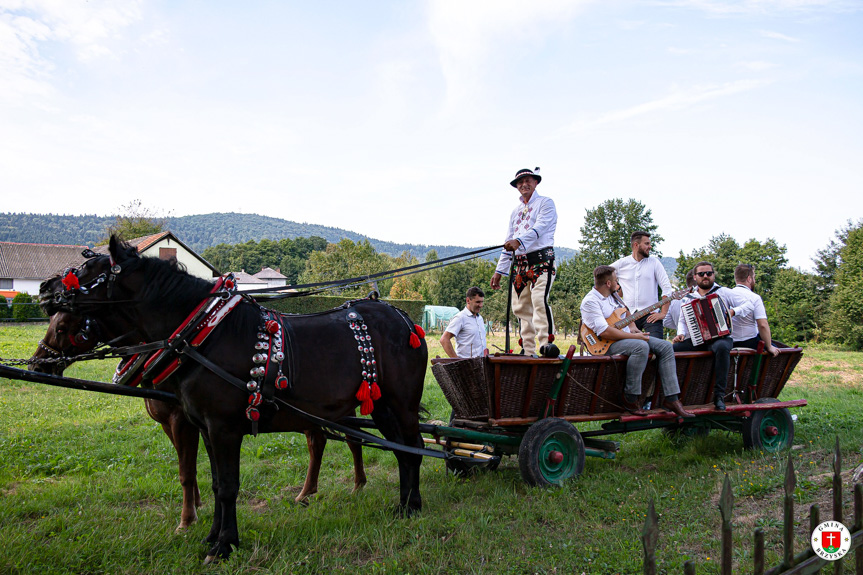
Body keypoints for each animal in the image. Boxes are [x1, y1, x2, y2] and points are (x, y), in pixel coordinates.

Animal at [40, 237, 426, 564]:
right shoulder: (205, 428)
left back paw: (413, 505)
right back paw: (403, 505)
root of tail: (406, 318)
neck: (207, 333)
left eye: (89, 270)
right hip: (381, 408)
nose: (44, 289)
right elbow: (213, 484)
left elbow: (227, 486)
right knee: (401, 450)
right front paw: (212, 536)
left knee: (414, 446)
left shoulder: (223, 428)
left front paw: (223, 546)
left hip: (402, 406)